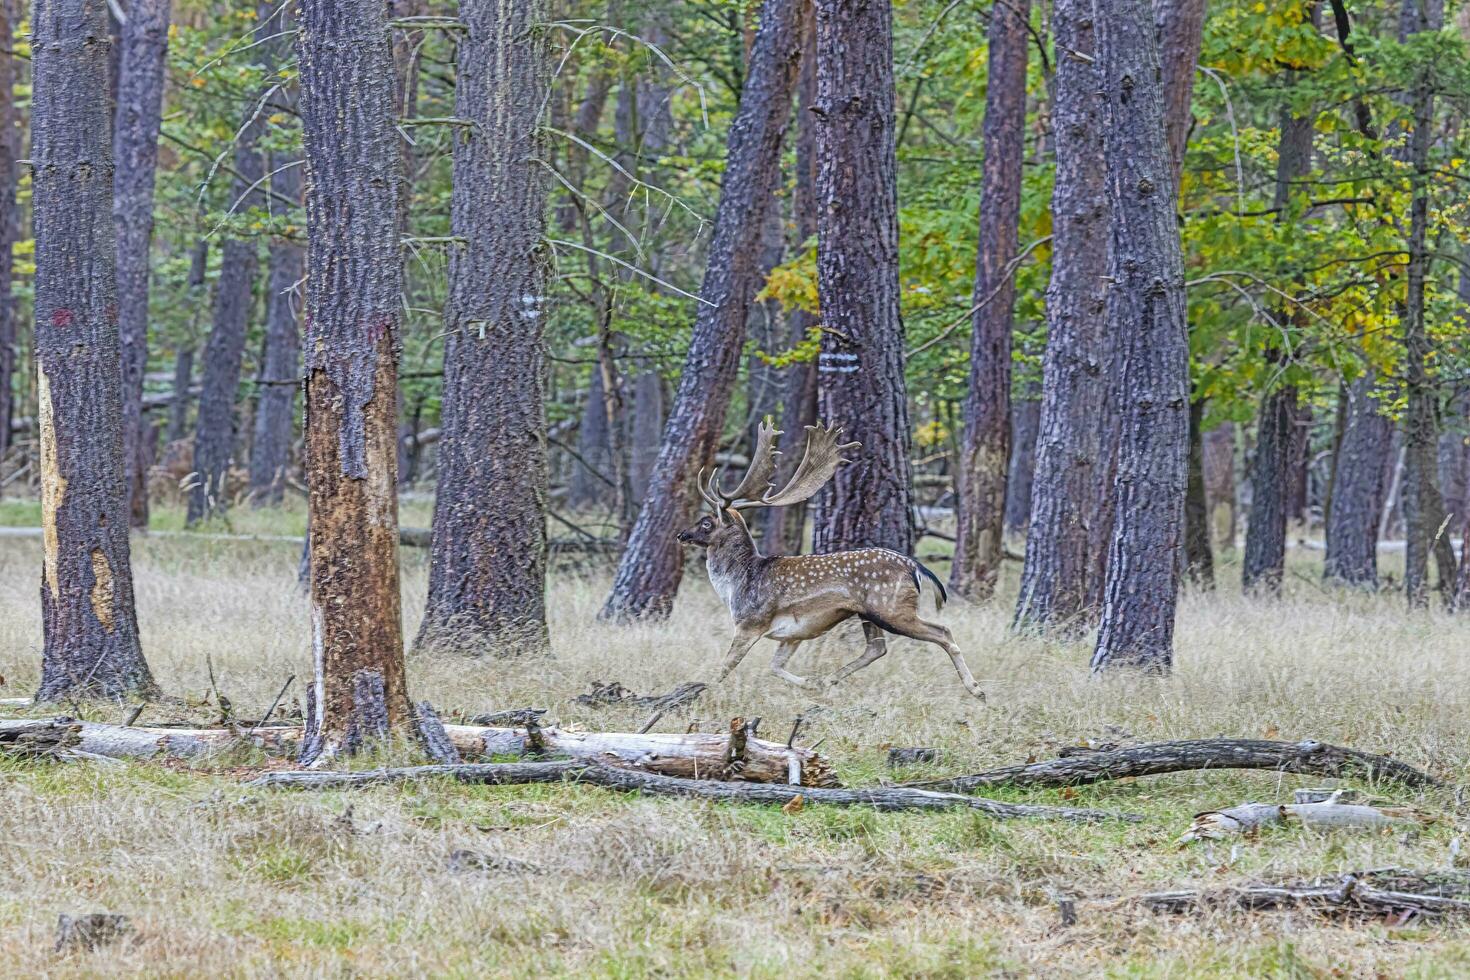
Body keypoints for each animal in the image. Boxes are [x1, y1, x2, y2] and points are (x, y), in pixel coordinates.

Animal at [679, 420, 987, 696]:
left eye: (706, 523)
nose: (681, 534)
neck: (737, 584)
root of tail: (915, 565)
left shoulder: (750, 622)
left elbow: (725, 667)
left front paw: (702, 691)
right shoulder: (794, 633)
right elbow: (774, 666)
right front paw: (809, 683)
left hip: (892, 608)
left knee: (942, 631)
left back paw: (976, 690)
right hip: (868, 613)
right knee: (877, 647)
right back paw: (827, 681)